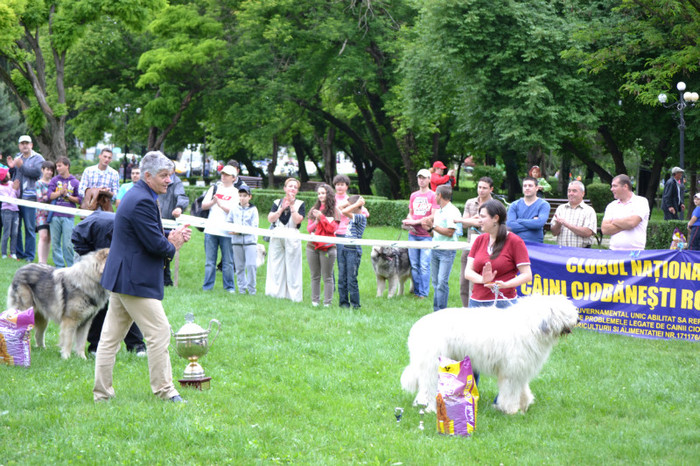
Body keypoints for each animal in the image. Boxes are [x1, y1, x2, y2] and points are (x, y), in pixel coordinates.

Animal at [402, 294, 576, 416]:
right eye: (564, 311)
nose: (578, 319)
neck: (531, 326)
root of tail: (417, 327)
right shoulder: (511, 371)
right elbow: (511, 391)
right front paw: (511, 410)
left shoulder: (520, 369)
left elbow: (522, 389)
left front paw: (524, 405)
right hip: (433, 363)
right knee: (429, 387)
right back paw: (431, 407)